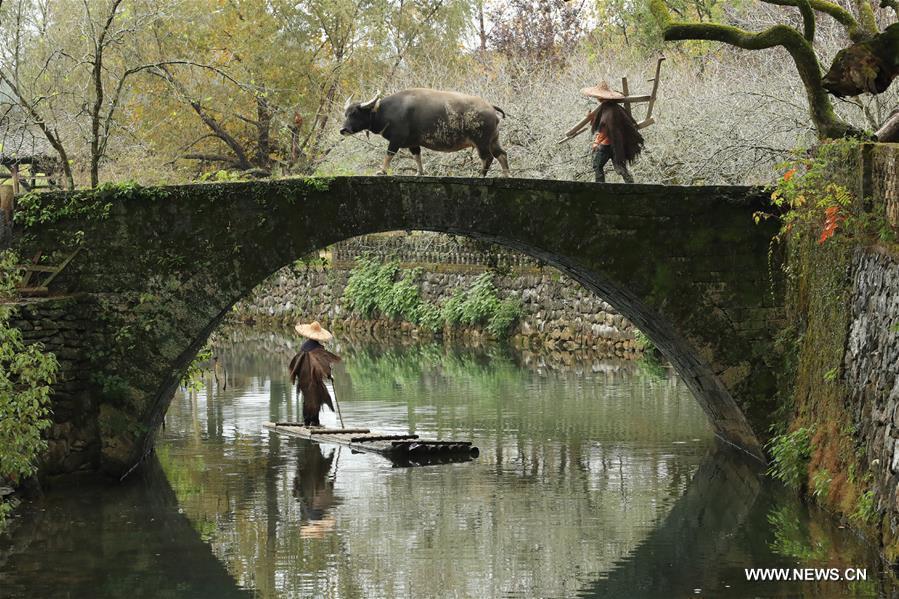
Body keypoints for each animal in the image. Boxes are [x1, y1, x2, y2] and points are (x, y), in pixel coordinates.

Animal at [340, 87, 510, 176]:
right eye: (345, 114)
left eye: (355, 113)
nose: (343, 130)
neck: (385, 111)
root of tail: (489, 106)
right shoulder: (412, 143)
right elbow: (417, 156)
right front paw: (419, 173)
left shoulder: (396, 140)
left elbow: (389, 155)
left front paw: (382, 171)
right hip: (493, 140)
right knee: (501, 154)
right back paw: (506, 175)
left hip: (481, 141)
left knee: (487, 158)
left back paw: (480, 175)